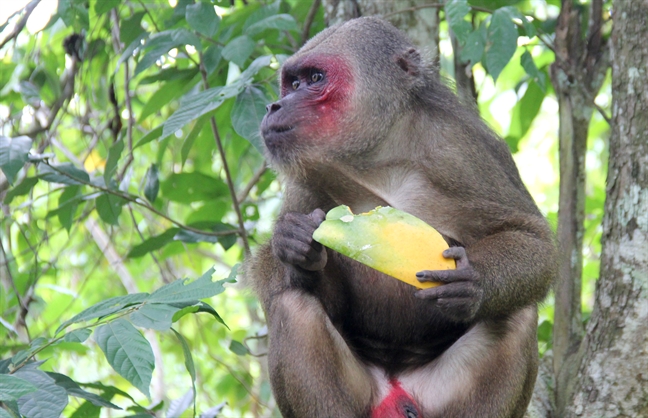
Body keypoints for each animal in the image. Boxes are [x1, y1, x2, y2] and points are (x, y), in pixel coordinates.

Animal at [246, 16, 556, 418]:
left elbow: (532, 239)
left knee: (516, 315)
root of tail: (396, 387)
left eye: (314, 79)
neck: (379, 157)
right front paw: (296, 247)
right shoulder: (305, 180)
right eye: (293, 83)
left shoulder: (463, 148)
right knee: (294, 305)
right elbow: (284, 283)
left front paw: (474, 281)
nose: (275, 105)